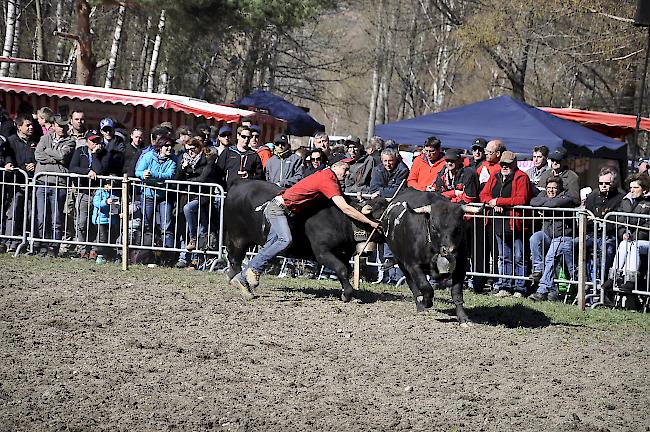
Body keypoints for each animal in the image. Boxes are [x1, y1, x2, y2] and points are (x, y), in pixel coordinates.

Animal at [364, 187, 470, 326]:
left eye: (458, 228)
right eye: (434, 227)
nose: (449, 250)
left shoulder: (461, 265)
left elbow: (457, 293)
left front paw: (463, 319)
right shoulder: (413, 265)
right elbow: (426, 287)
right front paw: (425, 302)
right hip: (402, 262)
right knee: (412, 284)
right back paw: (420, 305)